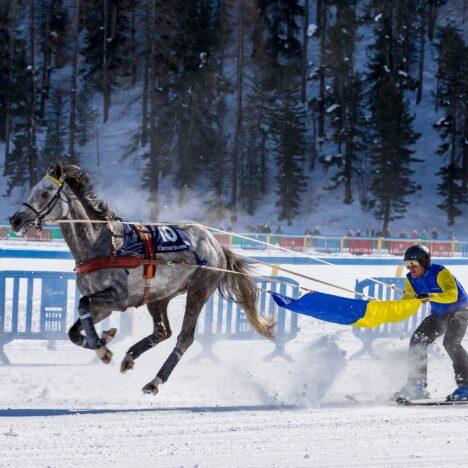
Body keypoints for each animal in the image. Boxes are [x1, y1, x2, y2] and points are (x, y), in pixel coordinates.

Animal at [9, 164, 274, 394]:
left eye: (45, 193)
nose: (15, 219)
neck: (104, 243)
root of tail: (216, 245)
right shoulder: (103, 305)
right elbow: (75, 330)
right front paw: (103, 341)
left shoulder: (118, 299)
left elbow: (83, 305)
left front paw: (102, 347)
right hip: (159, 297)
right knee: (162, 331)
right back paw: (129, 356)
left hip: (199, 291)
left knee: (184, 337)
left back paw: (155, 380)